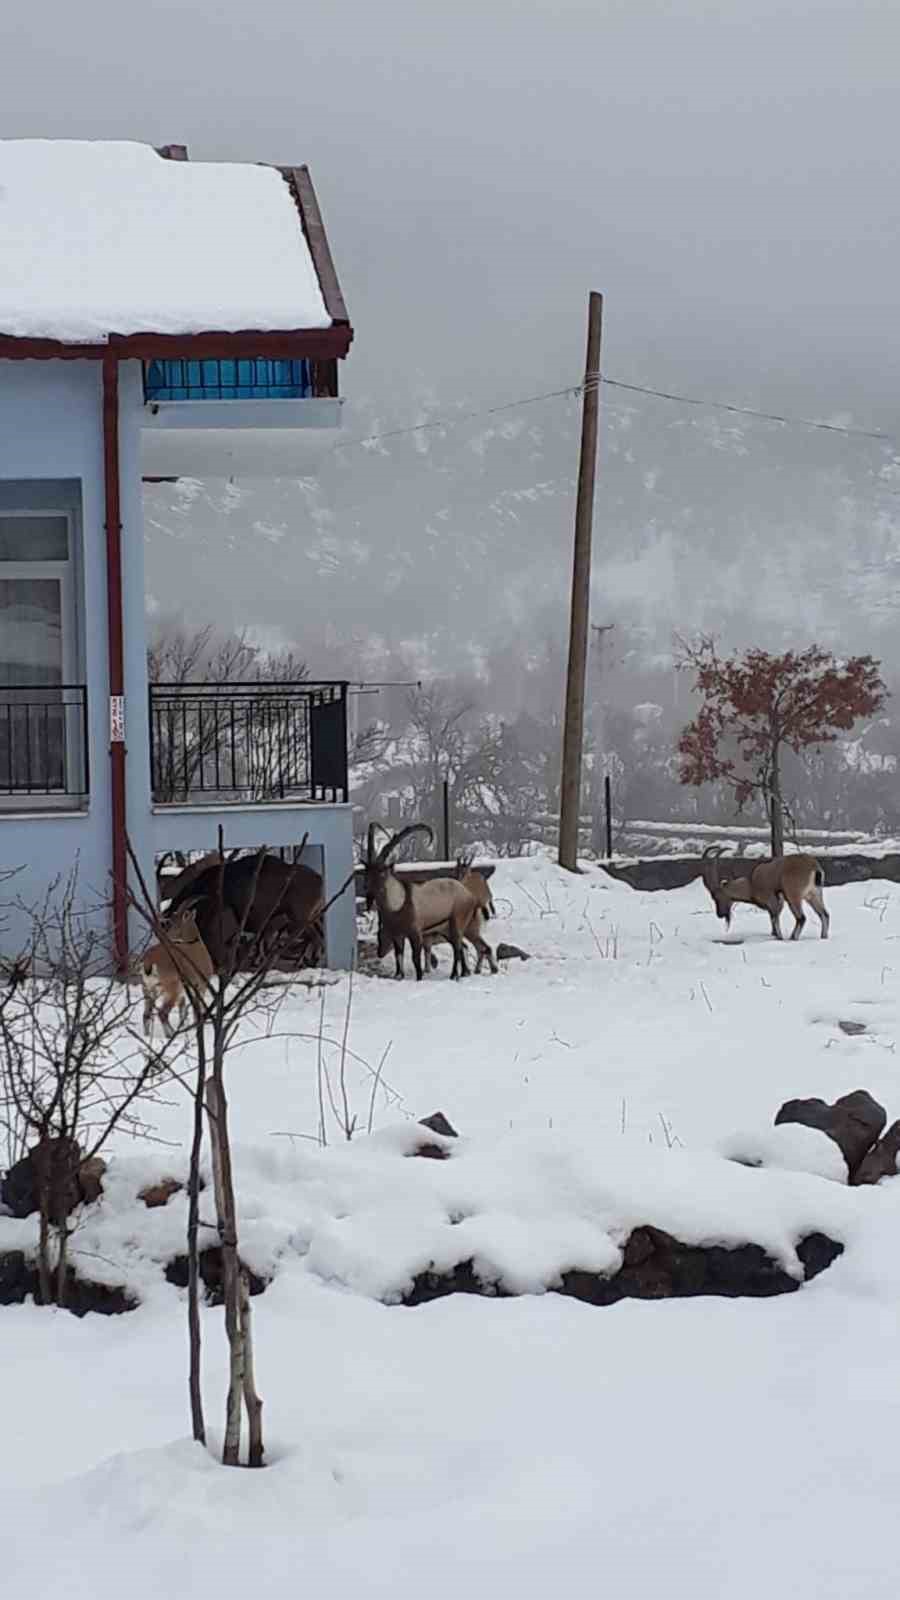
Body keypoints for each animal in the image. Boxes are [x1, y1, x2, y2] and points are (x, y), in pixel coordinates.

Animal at [360, 825, 493, 972]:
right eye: (367, 870)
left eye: (381, 872)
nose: (366, 887)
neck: (397, 903)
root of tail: (471, 897)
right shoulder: (398, 934)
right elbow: (398, 958)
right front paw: (399, 975)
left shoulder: (416, 933)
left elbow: (416, 959)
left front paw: (422, 973)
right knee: (473, 947)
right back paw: (470, 971)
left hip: (459, 923)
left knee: (465, 948)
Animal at [698, 851, 832, 934]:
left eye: (716, 897)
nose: (720, 914)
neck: (752, 884)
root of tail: (814, 867)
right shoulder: (777, 904)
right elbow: (773, 920)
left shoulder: (773, 901)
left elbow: (775, 920)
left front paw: (779, 937)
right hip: (814, 895)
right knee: (824, 915)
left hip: (793, 896)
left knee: (801, 918)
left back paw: (793, 938)